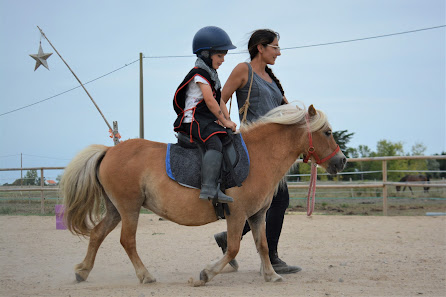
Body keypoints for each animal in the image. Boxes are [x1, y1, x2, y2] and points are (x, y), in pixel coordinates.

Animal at [60, 103, 344, 284]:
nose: (341, 162)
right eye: (328, 132)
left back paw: (83, 272)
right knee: (127, 241)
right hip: (129, 208)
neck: (259, 155)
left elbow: (262, 245)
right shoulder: (237, 214)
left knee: (97, 234)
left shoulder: (257, 215)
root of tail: (109, 150)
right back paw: (145, 275)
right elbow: (233, 248)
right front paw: (207, 274)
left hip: (116, 209)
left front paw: (271, 275)